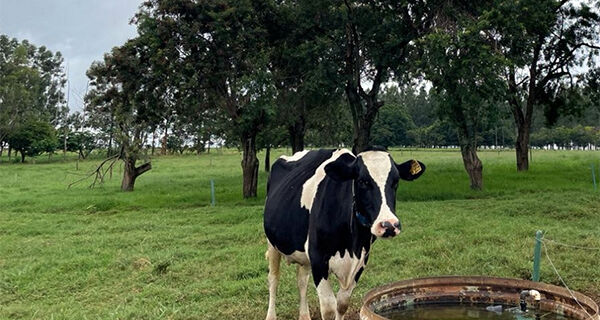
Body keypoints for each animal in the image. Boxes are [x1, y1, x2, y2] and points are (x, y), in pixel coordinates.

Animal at [264, 148, 426, 320]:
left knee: (302, 280)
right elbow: (328, 308)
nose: (389, 225)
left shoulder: (361, 260)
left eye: (395, 182)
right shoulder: (318, 257)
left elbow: (342, 304)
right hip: (272, 243)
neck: (350, 244)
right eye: (362, 182)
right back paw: (271, 315)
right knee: (273, 279)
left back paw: (304, 316)